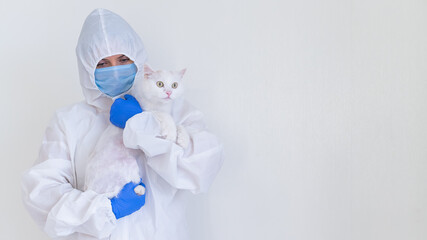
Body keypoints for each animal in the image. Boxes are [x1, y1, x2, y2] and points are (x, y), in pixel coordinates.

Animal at [84, 64, 188, 198]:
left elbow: (179, 125)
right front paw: (171, 134)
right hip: (128, 163)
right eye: (159, 84)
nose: (169, 92)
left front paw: (183, 140)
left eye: (175, 85)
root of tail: (87, 188)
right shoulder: (147, 112)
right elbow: (166, 118)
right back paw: (138, 190)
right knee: (113, 192)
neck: (159, 105)